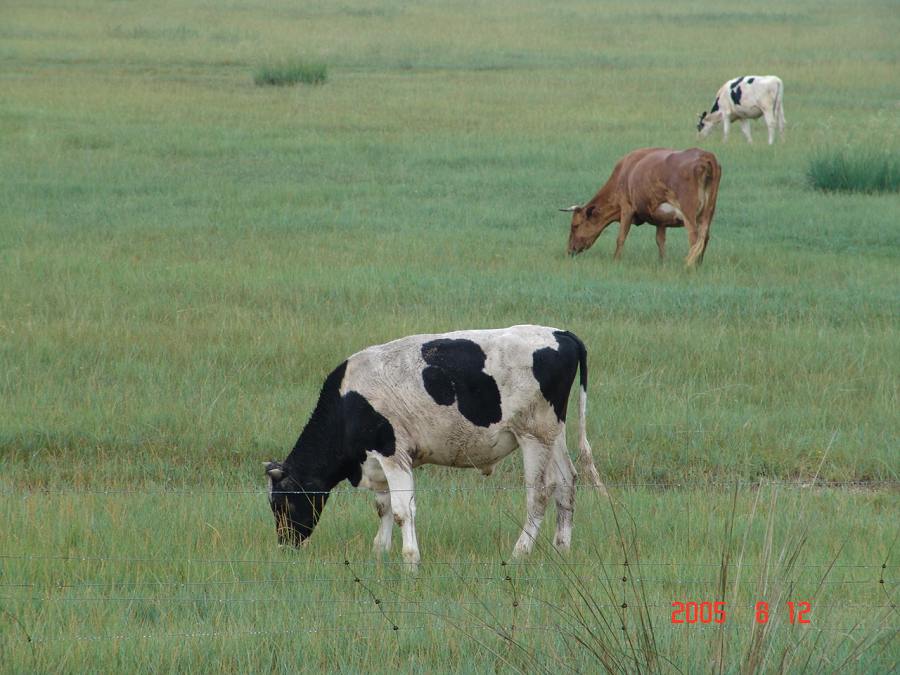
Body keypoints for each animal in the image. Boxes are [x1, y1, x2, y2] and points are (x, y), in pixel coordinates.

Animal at [266, 324, 604, 568]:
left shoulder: (392, 453)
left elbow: (402, 510)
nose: (285, 546)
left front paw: (410, 562)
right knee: (566, 482)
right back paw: (561, 550)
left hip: (533, 434)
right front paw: (379, 553)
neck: (348, 402)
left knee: (540, 492)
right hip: (553, 433)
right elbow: (383, 507)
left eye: (281, 504)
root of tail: (561, 333)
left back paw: (520, 552)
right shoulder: (375, 461)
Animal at [564, 148, 724, 266]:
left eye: (575, 225)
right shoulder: (661, 219)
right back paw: (698, 265)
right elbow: (660, 240)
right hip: (708, 212)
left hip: (688, 213)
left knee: (694, 238)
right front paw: (662, 263)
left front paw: (615, 260)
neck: (625, 172)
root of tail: (705, 155)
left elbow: (621, 237)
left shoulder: (626, 207)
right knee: (705, 238)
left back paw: (690, 266)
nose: (570, 250)